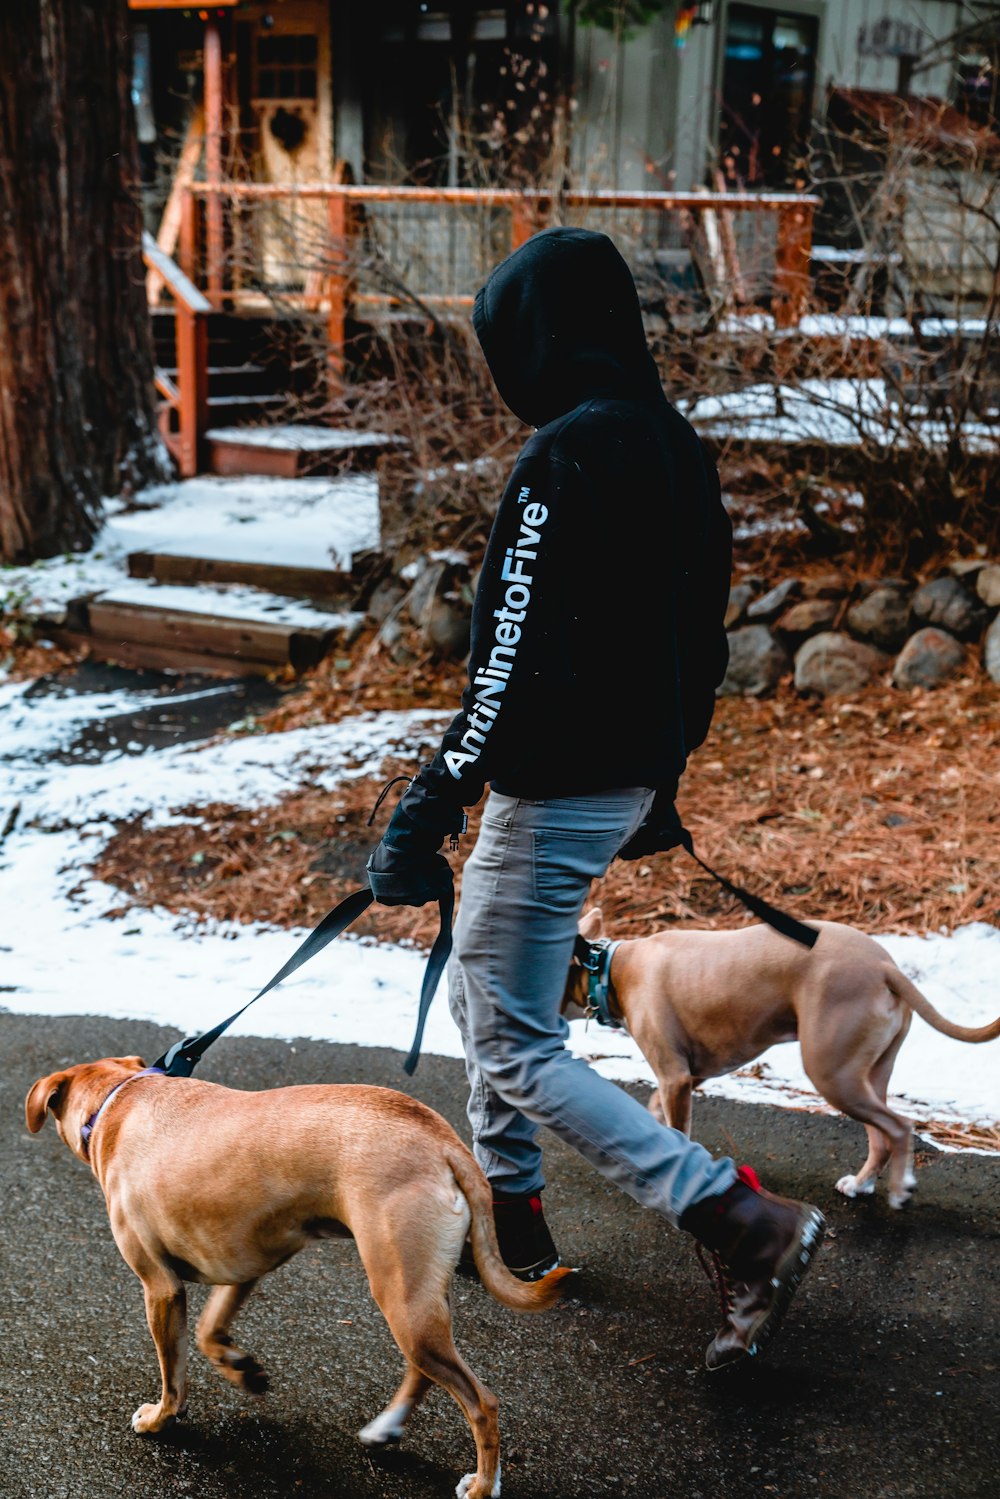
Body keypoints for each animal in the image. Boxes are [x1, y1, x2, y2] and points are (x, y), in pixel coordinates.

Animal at [25, 1061, 569, 1493]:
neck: (118, 1098)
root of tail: (444, 1141)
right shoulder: (243, 1262)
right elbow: (207, 1332)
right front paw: (242, 1369)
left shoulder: (161, 1289)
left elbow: (173, 1374)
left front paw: (162, 1420)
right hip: (418, 1297)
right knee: (425, 1371)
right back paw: (385, 1429)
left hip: (402, 1299)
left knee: (482, 1403)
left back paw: (482, 1485)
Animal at [566, 905, 995, 1211]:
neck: (611, 969)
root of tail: (883, 966)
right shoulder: (692, 1073)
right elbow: (659, 1108)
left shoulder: (675, 1076)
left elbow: (677, 1126)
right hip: (868, 1074)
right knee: (881, 1137)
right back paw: (861, 1184)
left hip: (831, 1073)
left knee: (900, 1126)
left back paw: (899, 1190)